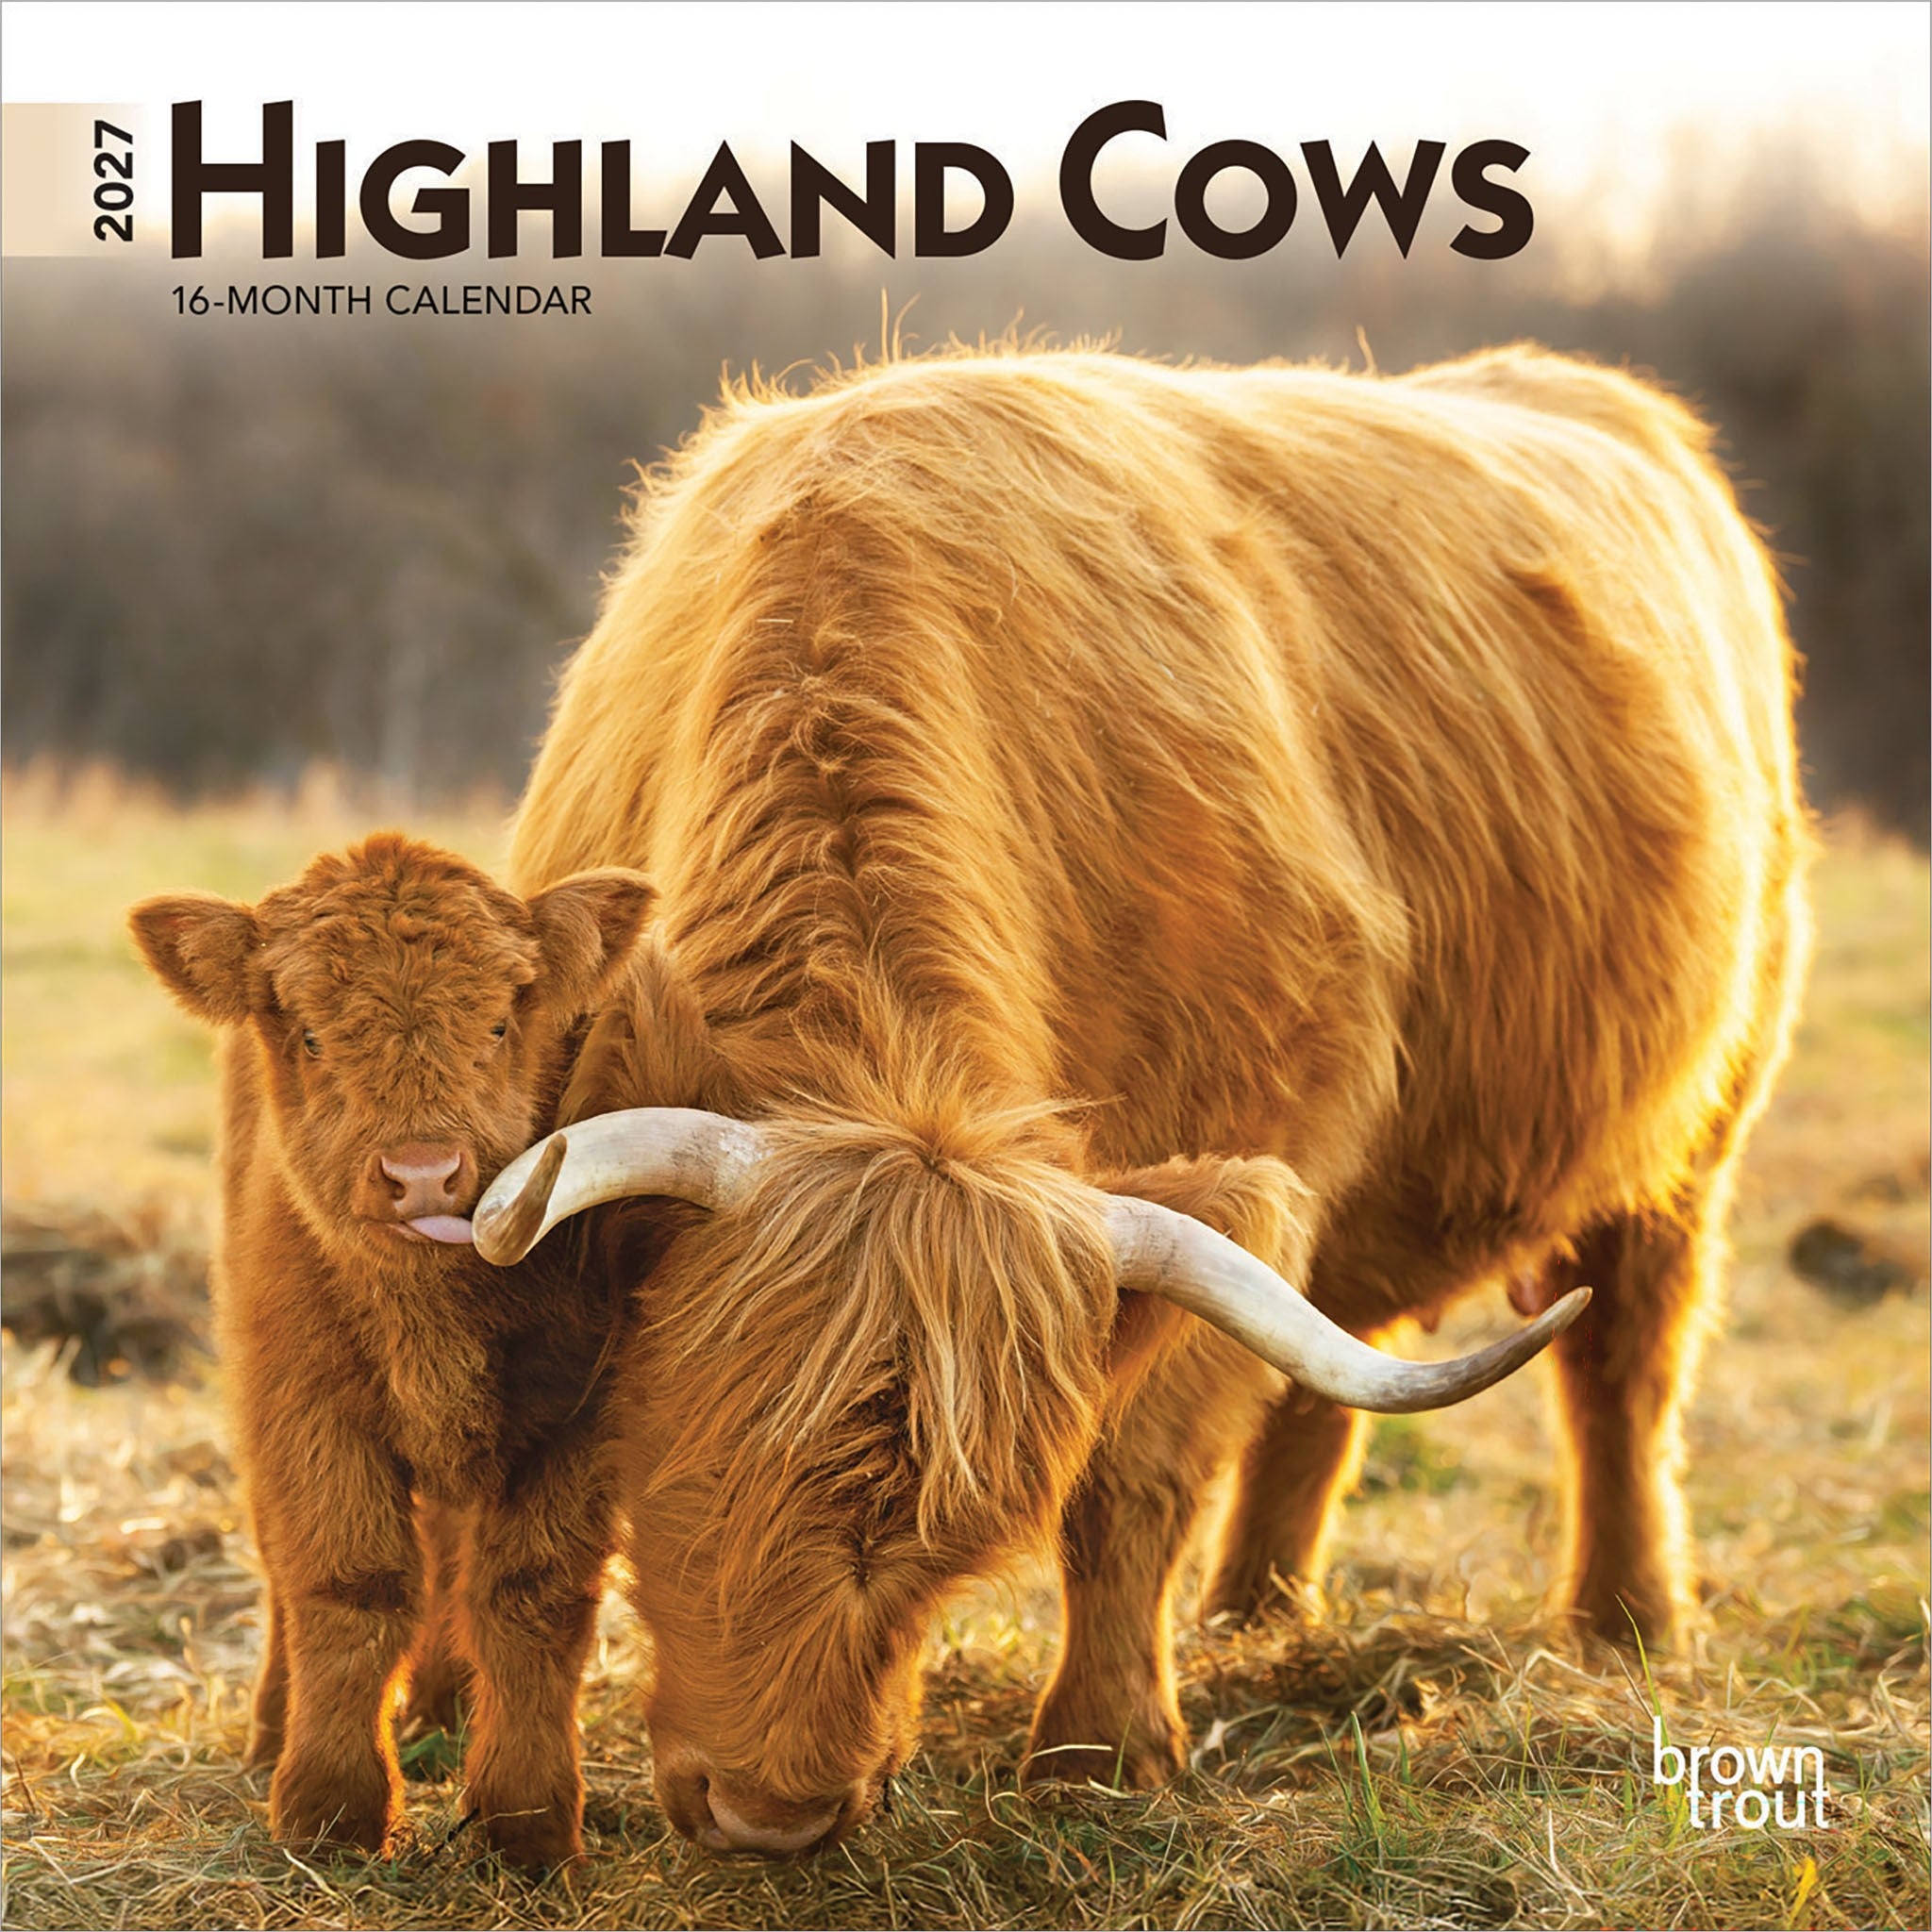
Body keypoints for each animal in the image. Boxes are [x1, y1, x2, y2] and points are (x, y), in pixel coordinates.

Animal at [129, 836, 653, 1868]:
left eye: (499, 1021)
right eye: (310, 1036)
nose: (422, 1174)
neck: (432, 1320)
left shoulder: (578, 1420)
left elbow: (531, 1593)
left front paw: (527, 1822)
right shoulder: (305, 1408)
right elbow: (349, 1584)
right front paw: (328, 1811)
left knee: (452, 1557)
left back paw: (445, 1708)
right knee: (286, 1571)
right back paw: (273, 1731)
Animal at [476, 344, 1809, 1856]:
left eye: (953, 1539)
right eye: (674, 1462)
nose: (774, 1815)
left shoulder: (1253, 1131)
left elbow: (1133, 1475)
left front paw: (1098, 1752)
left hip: (1698, 1124)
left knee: (1623, 1361)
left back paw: (1624, 1621)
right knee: (1324, 1377)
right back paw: (1258, 1615)